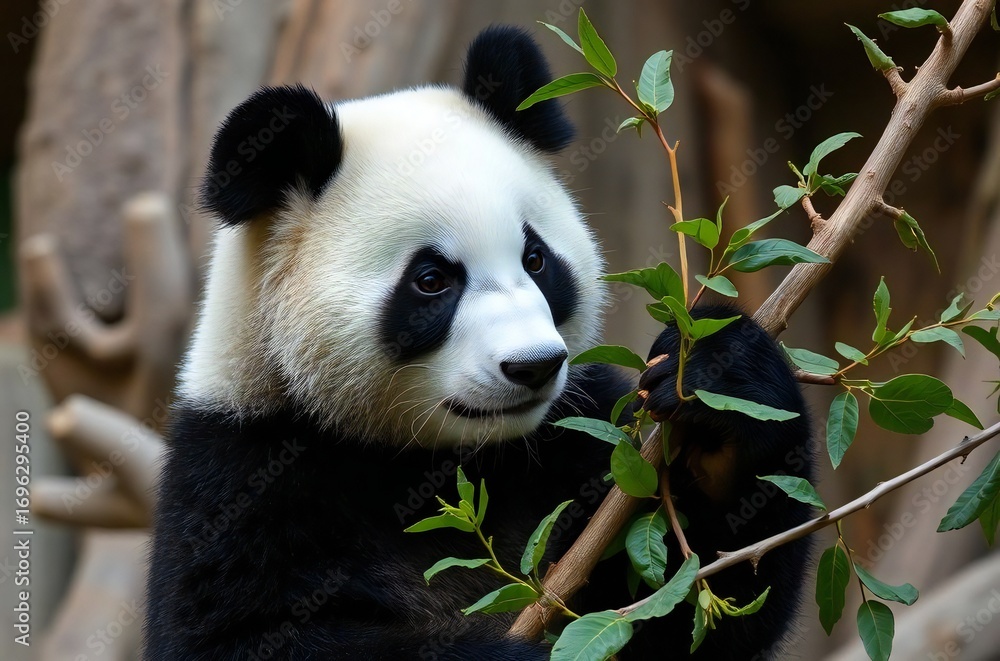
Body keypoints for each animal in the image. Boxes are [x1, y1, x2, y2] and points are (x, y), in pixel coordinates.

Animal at [144, 25, 813, 661]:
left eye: (536, 259)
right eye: (431, 280)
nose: (534, 367)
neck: (440, 461)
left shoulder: (581, 436)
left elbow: (697, 608)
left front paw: (718, 389)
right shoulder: (241, 478)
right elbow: (237, 639)